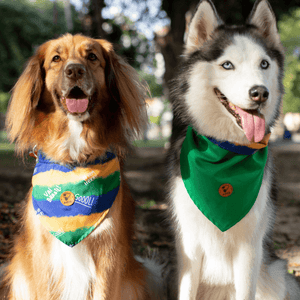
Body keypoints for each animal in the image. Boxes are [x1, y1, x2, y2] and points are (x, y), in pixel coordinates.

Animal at [2, 33, 162, 300]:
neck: (74, 159)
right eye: (56, 58)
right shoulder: (43, 256)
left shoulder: (109, 253)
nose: (74, 70)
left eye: (92, 57)